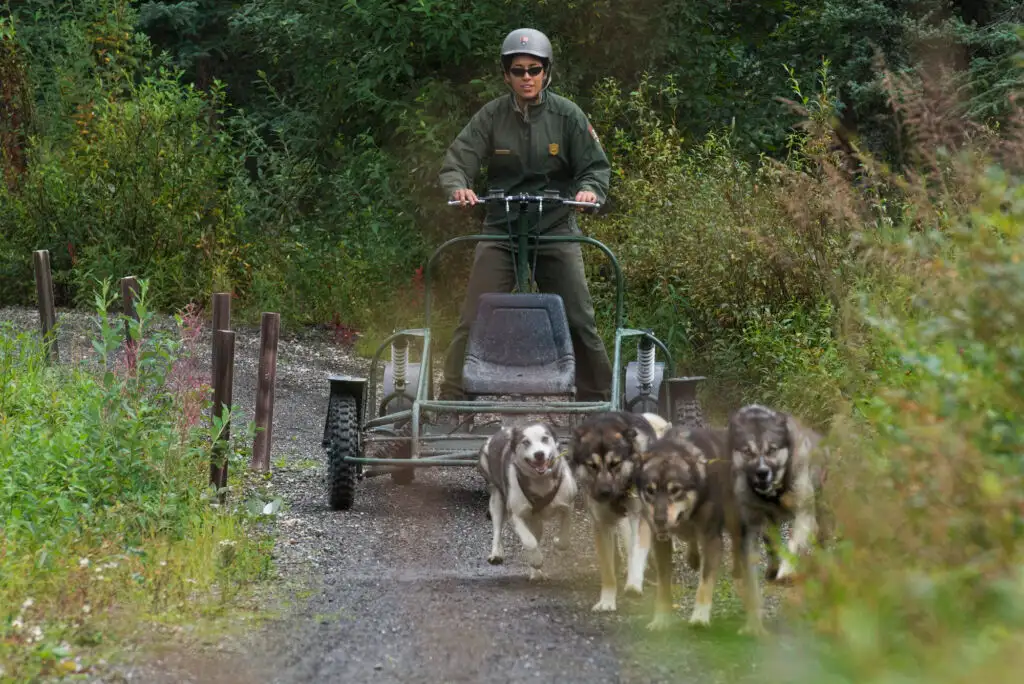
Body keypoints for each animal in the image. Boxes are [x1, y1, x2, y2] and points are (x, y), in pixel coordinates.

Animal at [477, 421, 577, 577]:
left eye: (545, 438)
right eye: (526, 442)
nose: (539, 454)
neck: (541, 482)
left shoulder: (568, 504)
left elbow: (565, 536)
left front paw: (557, 541)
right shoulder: (516, 514)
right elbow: (530, 541)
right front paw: (536, 559)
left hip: (535, 519)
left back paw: (535, 573)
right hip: (497, 500)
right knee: (497, 529)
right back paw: (497, 553)